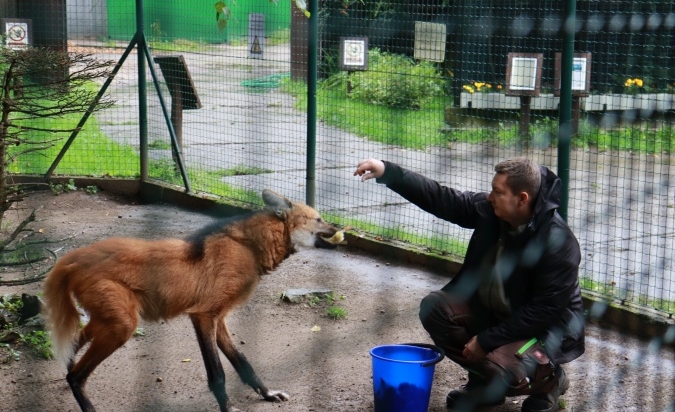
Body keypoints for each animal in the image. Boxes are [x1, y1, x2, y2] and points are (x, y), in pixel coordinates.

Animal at [42, 190, 344, 412]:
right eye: (319, 219)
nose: (340, 228)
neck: (248, 247)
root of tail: (70, 259)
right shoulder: (204, 315)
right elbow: (218, 372)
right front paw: (229, 408)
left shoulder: (219, 318)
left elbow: (243, 363)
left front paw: (268, 394)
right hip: (122, 325)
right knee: (77, 375)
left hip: (109, 319)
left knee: (73, 347)